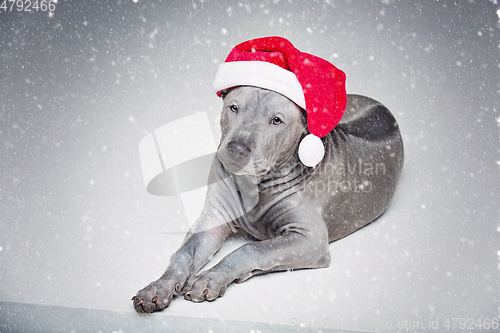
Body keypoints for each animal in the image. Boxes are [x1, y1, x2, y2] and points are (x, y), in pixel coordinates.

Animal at [132, 85, 402, 312]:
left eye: (276, 120)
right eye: (234, 107)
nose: (237, 149)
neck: (254, 184)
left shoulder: (311, 240)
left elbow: (250, 248)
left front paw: (211, 277)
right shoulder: (212, 220)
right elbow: (183, 254)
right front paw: (158, 287)